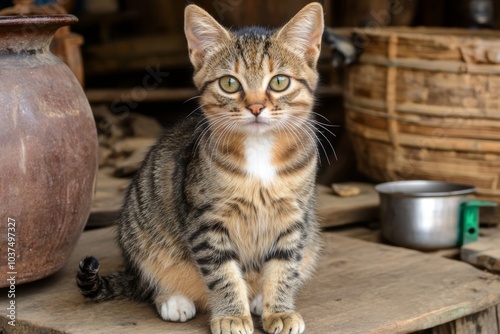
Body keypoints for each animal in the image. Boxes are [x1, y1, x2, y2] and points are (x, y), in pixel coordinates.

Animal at [75, 3, 324, 334]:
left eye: (279, 81)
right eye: (229, 83)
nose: (256, 107)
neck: (259, 150)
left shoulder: (294, 216)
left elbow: (284, 267)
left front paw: (279, 311)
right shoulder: (206, 220)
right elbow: (223, 274)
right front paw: (232, 315)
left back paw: (257, 297)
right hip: (141, 234)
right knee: (149, 278)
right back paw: (173, 298)